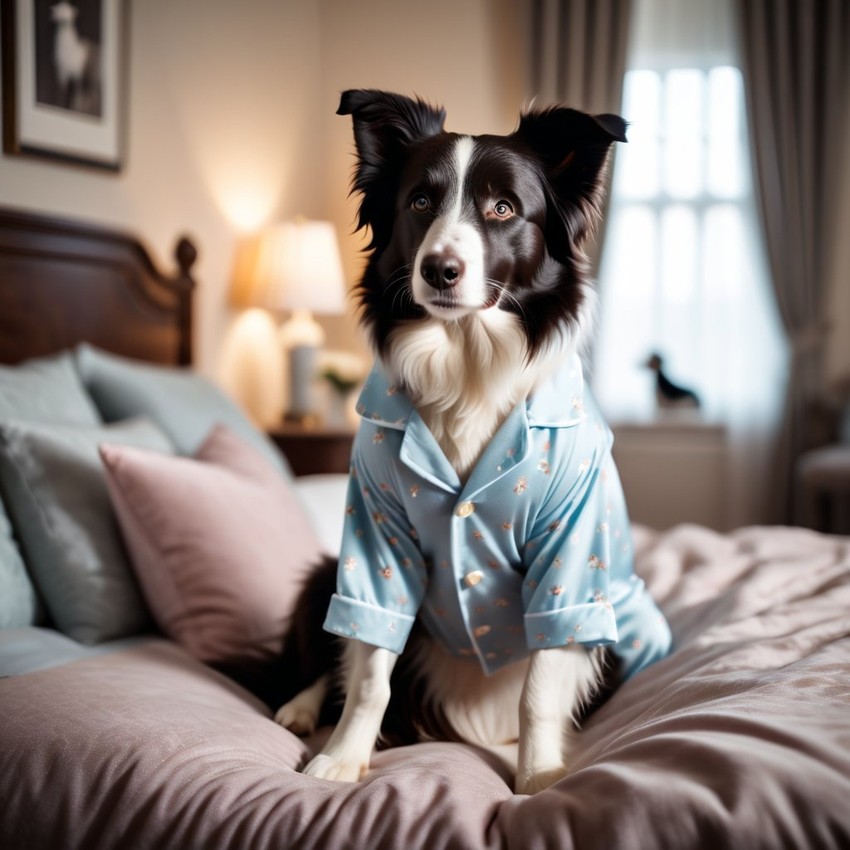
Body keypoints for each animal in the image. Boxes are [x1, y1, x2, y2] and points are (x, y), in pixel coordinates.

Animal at [274, 91, 672, 796]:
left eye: (503, 208)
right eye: (419, 202)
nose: (439, 269)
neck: (466, 364)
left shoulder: (571, 557)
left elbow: (541, 685)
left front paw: (538, 778)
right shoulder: (374, 536)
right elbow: (370, 665)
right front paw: (344, 758)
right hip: (327, 568)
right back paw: (300, 707)